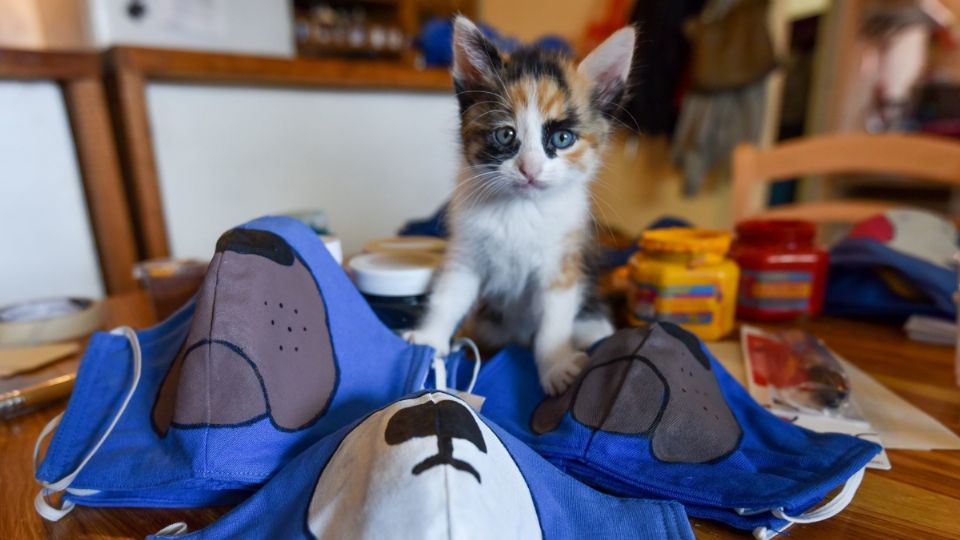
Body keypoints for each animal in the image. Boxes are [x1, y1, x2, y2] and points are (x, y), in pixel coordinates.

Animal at [406, 16, 636, 394]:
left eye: (562, 138)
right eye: (505, 135)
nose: (530, 169)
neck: (520, 209)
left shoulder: (562, 263)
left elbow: (553, 324)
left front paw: (557, 367)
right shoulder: (466, 253)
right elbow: (448, 296)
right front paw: (430, 338)